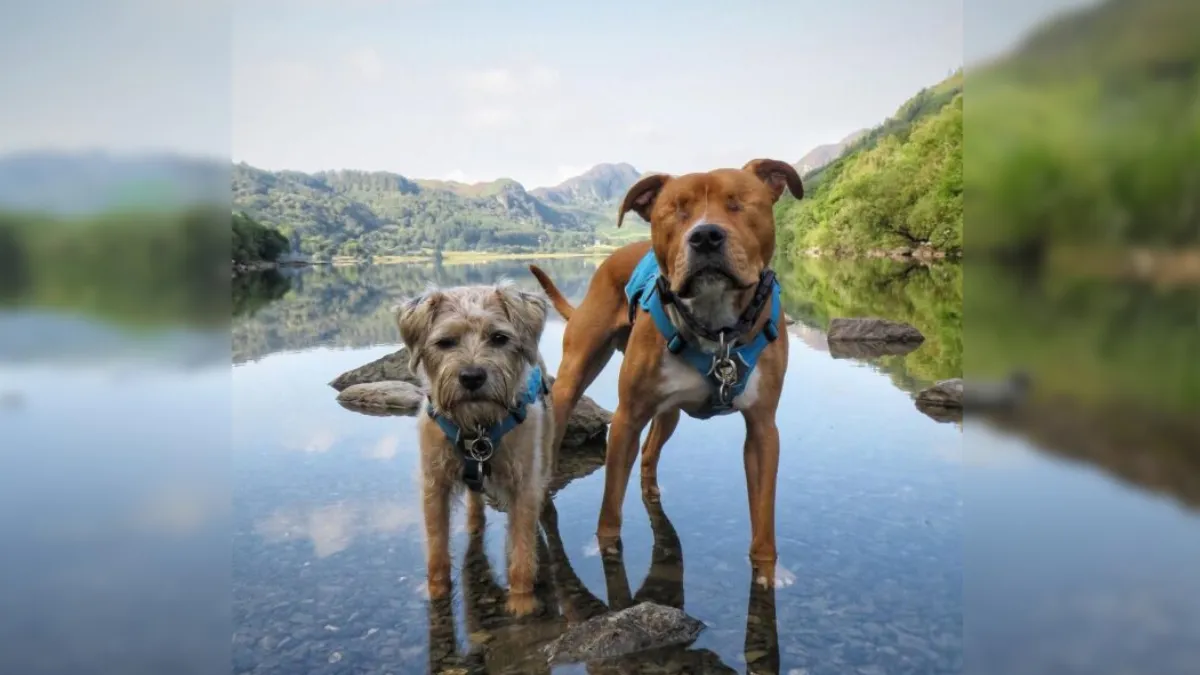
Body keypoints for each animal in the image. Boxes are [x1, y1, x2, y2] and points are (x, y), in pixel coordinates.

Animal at [532, 157, 796, 571]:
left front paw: (767, 570)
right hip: (572, 381)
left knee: (649, 453)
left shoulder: (763, 430)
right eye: (676, 210)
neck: (717, 330)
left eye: (738, 203)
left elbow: (763, 519)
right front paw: (606, 548)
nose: (706, 236)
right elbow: (610, 508)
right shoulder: (626, 419)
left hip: (668, 412)